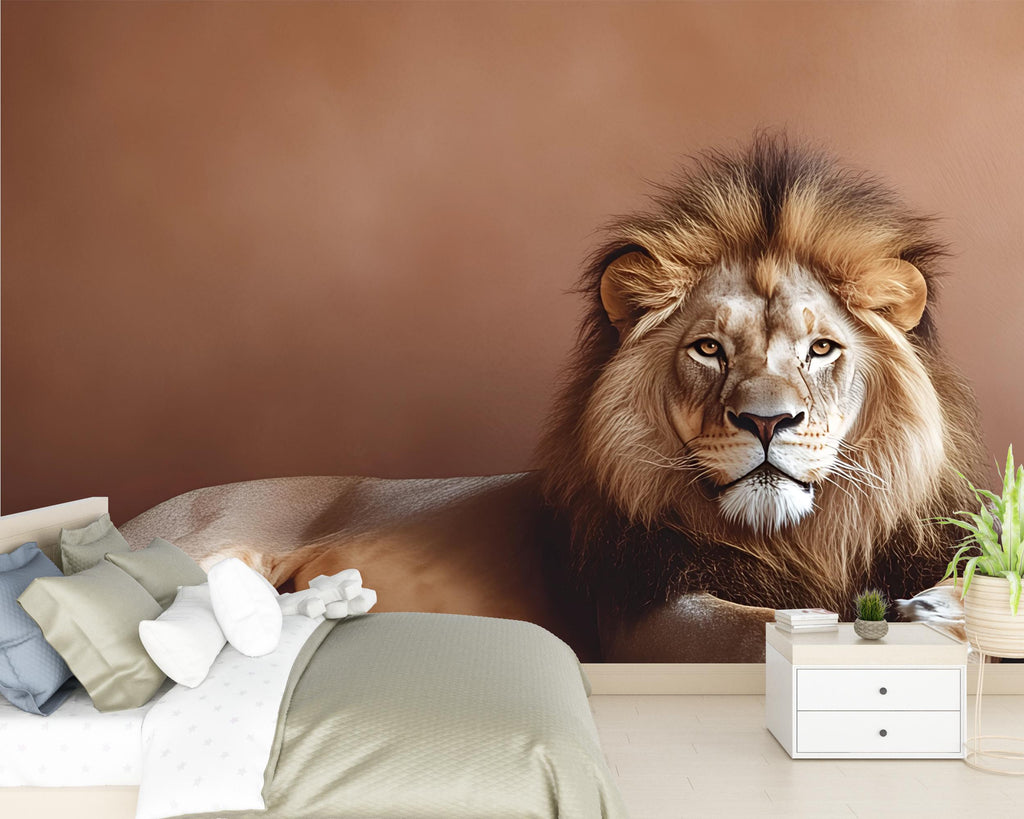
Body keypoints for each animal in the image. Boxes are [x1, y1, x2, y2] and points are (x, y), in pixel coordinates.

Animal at [120, 135, 986, 662]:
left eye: (821, 349)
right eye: (709, 348)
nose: (767, 420)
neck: (800, 541)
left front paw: (934, 608)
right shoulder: (647, 620)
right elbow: (777, 626)